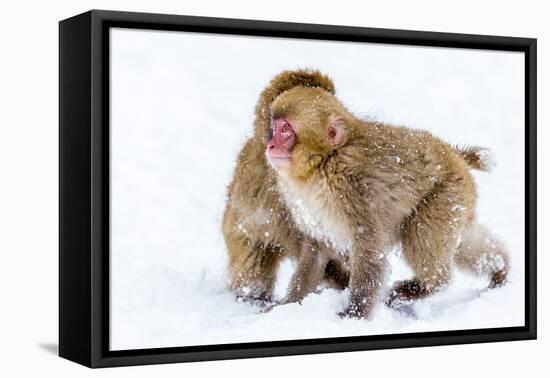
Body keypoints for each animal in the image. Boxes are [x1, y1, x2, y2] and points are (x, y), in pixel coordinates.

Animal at [266, 77, 512, 318]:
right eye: (275, 127)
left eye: (286, 130)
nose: (270, 144)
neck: (321, 164)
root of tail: (455, 155)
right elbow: (315, 252)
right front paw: (287, 306)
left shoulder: (352, 192)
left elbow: (369, 249)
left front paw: (354, 314)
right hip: (459, 202)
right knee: (463, 243)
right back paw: (499, 268)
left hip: (444, 195)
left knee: (425, 240)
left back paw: (425, 286)